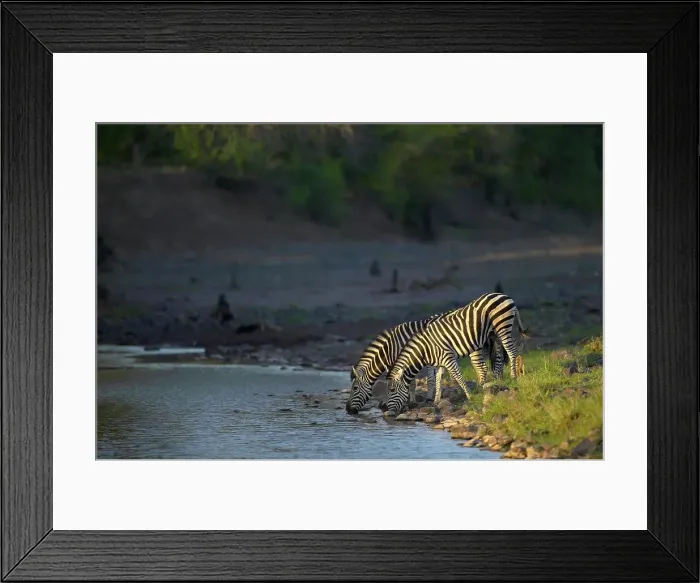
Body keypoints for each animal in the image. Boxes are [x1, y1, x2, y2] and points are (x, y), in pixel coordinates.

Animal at [345, 312, 502, 415]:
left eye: (355, 388)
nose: (348, 410)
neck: (392, 347)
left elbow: (411, 383)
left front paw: (411, 402)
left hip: (475, 349)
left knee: (482, 368)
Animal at [383, 293, 529, 416]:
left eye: (392, 390)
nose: (388, 412)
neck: (425, 349)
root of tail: (504, 295)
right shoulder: (439, 361)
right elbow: (438, 379)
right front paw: (436, 400)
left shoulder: (448, 357)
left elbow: (458, 377)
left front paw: (470, 396)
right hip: (494, 334)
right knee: (499, 357)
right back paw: (497, 381)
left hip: (502, 326)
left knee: (512, 350)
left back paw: (513, 376)